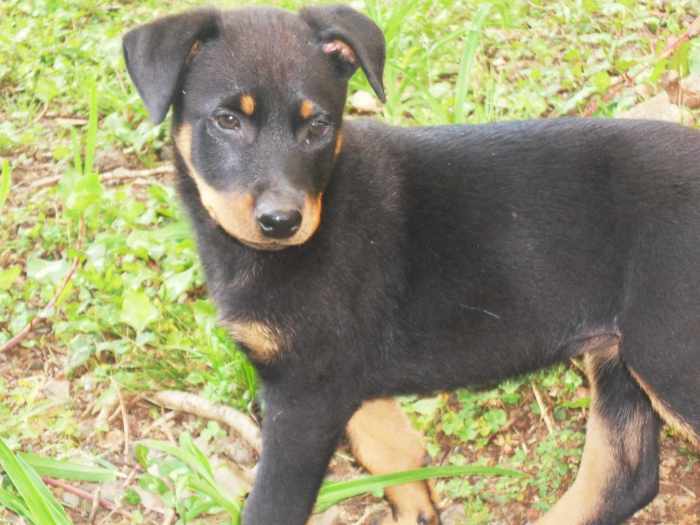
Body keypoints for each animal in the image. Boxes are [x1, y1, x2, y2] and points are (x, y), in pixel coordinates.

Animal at [123, 5, 696, 524]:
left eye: (318, 126)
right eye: (225, 120)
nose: (282, 221)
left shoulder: (305, 392)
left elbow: (273, 504)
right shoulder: (339, 373)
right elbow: (387, 449)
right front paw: (417, 507)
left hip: (666, 350)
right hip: (617, 352)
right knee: (623, 473)